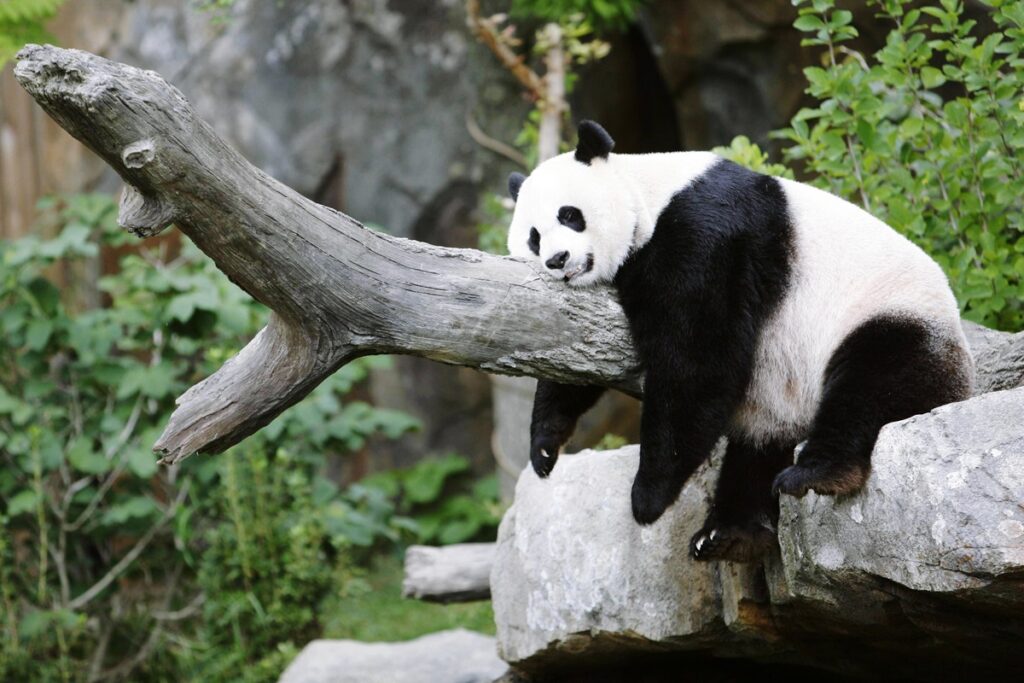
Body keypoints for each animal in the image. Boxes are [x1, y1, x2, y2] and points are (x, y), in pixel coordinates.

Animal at [507, 120, 973, 563]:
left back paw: (816, 474)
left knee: (871, 383)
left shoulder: (705, 234)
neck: (648, 195)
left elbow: (697, 359)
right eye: (533, 236)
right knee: (759, 447)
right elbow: (576, 352)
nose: (557, 260)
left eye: (570, 215)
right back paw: (729, 533)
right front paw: (545, 447)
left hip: (892, 317)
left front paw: (648, 496)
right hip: (780, 399)